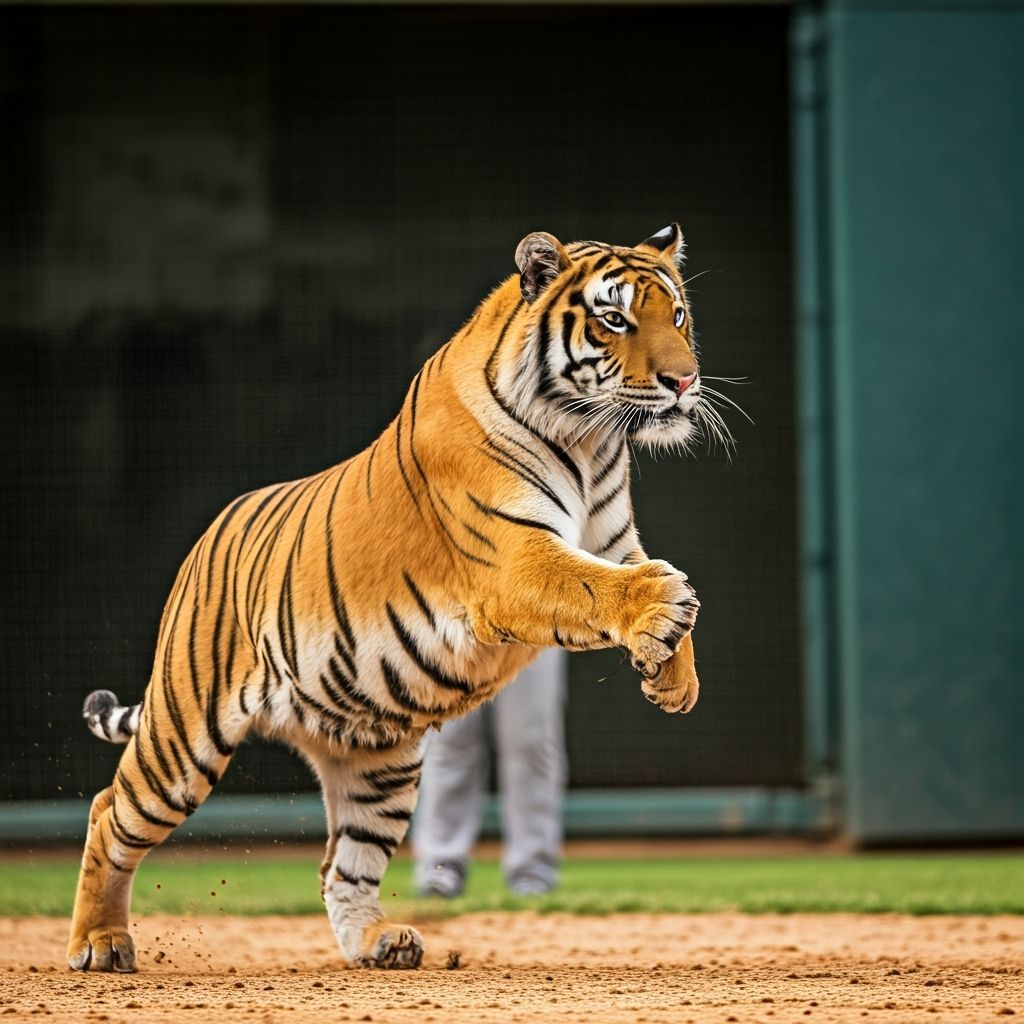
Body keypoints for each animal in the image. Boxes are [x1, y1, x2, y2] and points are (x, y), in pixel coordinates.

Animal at [69, 224, 721, 973]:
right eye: (614, 319)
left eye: (677, 315)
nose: (684, 381)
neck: (590, 442)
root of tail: (209, 535)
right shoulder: (516, 559)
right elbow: (595, 587)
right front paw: (668, 608)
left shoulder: (613, 543)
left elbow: (625, 585)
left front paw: (673, 679)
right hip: (184, 737)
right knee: (109, 812)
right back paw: (99, 944)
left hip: (378, 762)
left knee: (341, 865)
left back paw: (380, 943)